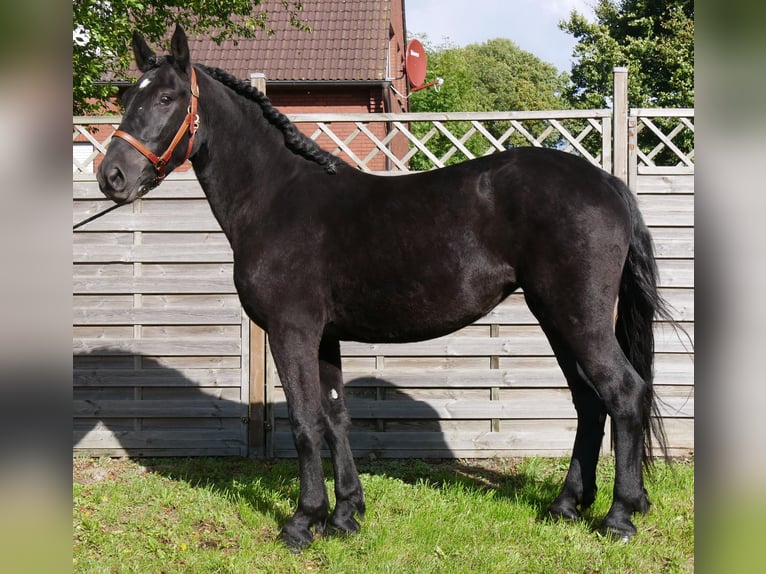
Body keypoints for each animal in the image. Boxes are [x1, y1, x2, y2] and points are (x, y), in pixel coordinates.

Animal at [97, 25, 673, 548]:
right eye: (127, 97)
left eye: (167, 97)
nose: (112, 176)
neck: (276, 197)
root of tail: (607, 183)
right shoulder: (324, 337)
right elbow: (335, 418)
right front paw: (345, 515)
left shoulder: (291, 331)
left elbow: (305, 422)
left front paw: (303, 522)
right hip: (555, 317)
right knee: (589, 402)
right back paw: (566, 505)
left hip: (578, 317)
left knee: (624, 393)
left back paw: (619, 516)